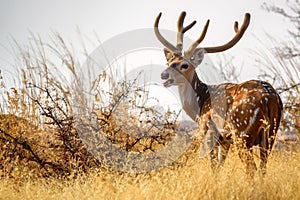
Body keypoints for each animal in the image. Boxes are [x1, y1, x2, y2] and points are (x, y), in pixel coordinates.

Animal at [155, 11, 284, 176]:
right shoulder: (225, 141)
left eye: (185, 65)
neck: (201, 103)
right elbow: (220, 166)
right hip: (270, 135)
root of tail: (269, 98)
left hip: (242, 132)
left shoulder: (208, 130)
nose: (164, 74)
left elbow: (214, 167)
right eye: (169, 62)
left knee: (251, 169)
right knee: (262, 169)